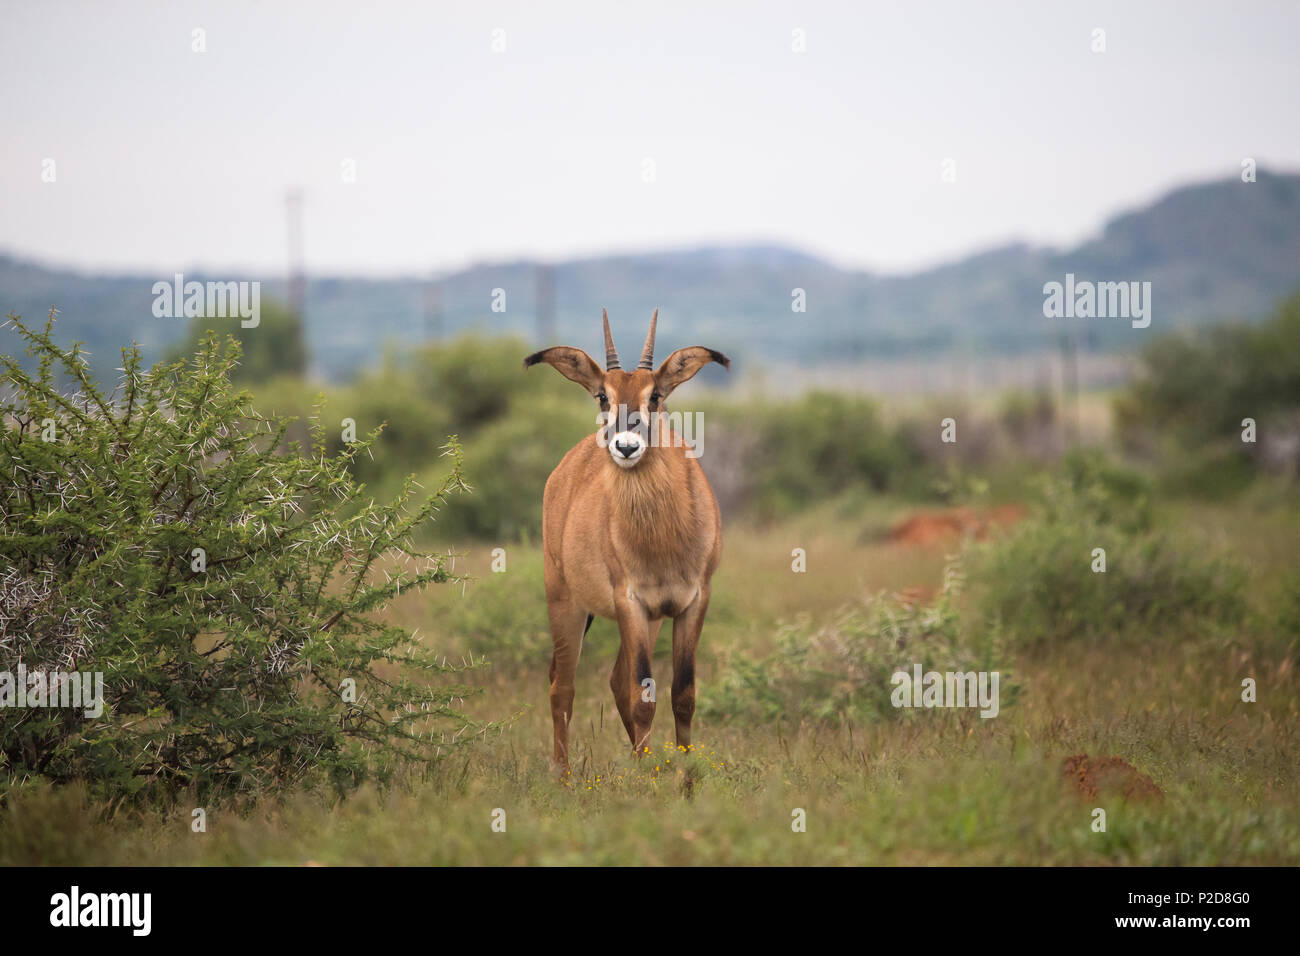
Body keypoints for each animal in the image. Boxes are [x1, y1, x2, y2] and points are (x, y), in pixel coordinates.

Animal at [527, 310, 733, 764]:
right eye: (603, 396)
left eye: (654, 395)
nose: (625, 446)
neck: (663, 536)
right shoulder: (630, 601)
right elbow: (644, 699)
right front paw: (653, 778)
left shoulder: (693, 600)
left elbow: (682, 695)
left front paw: (686, 774)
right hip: (565, 600)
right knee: (562, 686)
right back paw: (564, 774)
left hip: (650, 619)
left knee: (616, 681)